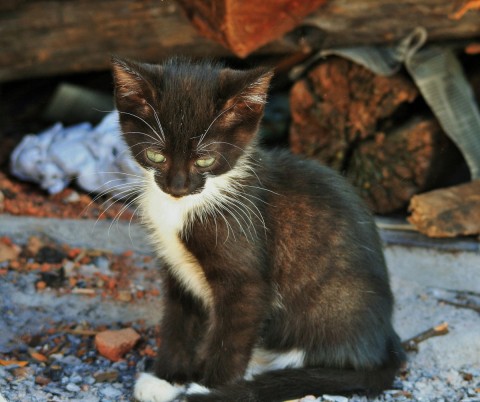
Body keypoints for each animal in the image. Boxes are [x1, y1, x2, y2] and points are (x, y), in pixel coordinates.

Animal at [110, 57, 404, 402]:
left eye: (205, 160)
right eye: (156, 155)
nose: (177, 186)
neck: (182, 208)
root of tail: (384, 341)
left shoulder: (246, 279)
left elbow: (232, 335)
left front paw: (213, 388)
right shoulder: (176, 269)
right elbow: (179, 322)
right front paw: (166, 379)